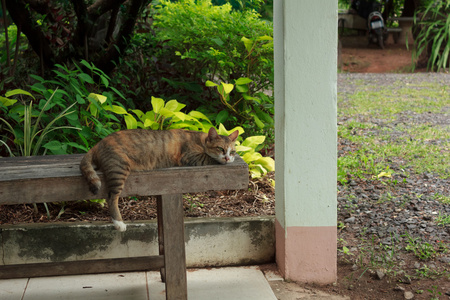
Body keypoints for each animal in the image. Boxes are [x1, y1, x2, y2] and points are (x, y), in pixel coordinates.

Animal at [80, 127, 239, 232]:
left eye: (233, 151)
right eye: (220, 149)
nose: (228, 157)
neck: (200, 140)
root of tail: (98, 144)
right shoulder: (191, 157)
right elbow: (211, 159)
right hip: (119, 168)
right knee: (111, 197)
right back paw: (119, 223)